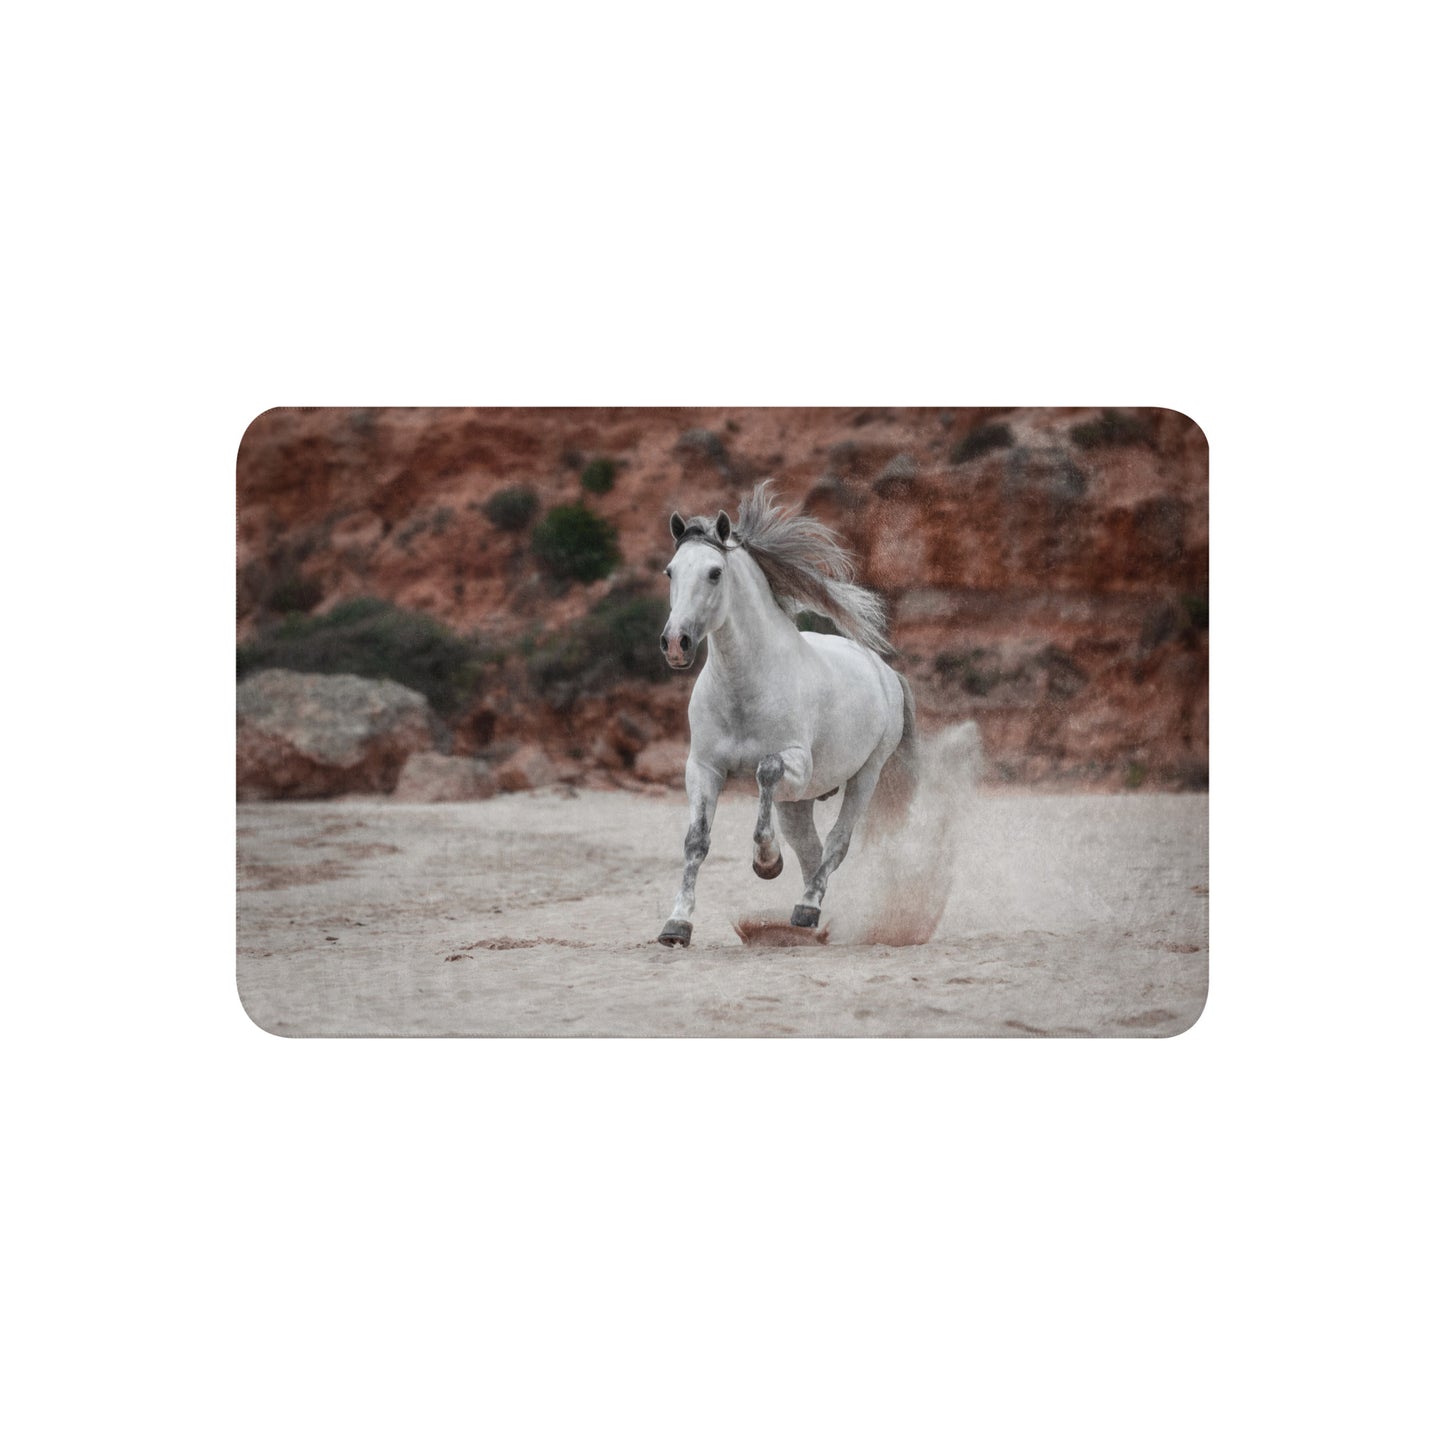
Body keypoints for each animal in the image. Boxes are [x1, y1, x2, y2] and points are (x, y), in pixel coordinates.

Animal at [656, 480, 918, 946]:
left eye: (715, 572)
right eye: (671, 572)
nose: (675, 644)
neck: (745, 687)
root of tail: (885, 671)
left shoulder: (794, 762)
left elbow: (765, 771)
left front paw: (766, 862)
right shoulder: (703, 768)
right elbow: (696, 842)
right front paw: (677, 924)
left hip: (864, 775)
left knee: (836, 842)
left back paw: (807, 908)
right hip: (799, 801)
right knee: (812, 850)